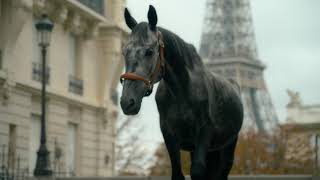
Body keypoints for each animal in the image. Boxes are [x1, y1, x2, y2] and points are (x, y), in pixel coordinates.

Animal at [119, 5, 242, 180]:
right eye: (125, 52)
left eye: (149, 52)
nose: (127, 102)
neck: (182, 91)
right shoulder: (169, 135)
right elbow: (178, 173)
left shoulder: (204, 133)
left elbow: (197, 171)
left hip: (229, 145)